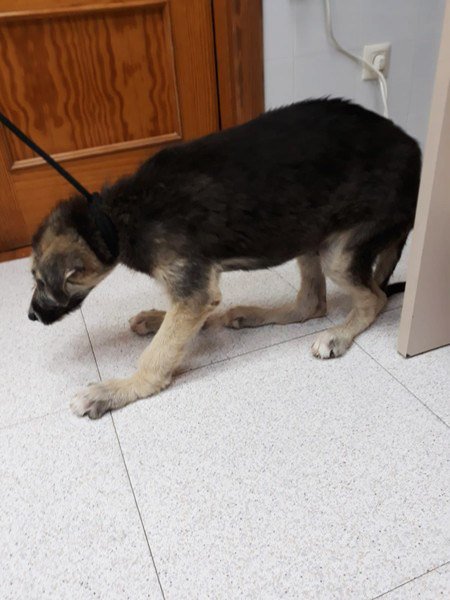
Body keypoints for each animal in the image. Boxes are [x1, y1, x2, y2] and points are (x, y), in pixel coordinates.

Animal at [28, 98, 421, 419]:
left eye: (40, 280)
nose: (31, 316)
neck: (113, 219)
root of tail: (415, 149)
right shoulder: (195, 289)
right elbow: (176, 328)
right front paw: (157, 320)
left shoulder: (194, 290)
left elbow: (158, 355)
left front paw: (117, 390)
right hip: (308, 230)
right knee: (311, 303)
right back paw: (251, 314)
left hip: (337, 251)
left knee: (375, 298)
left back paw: (337, 335)